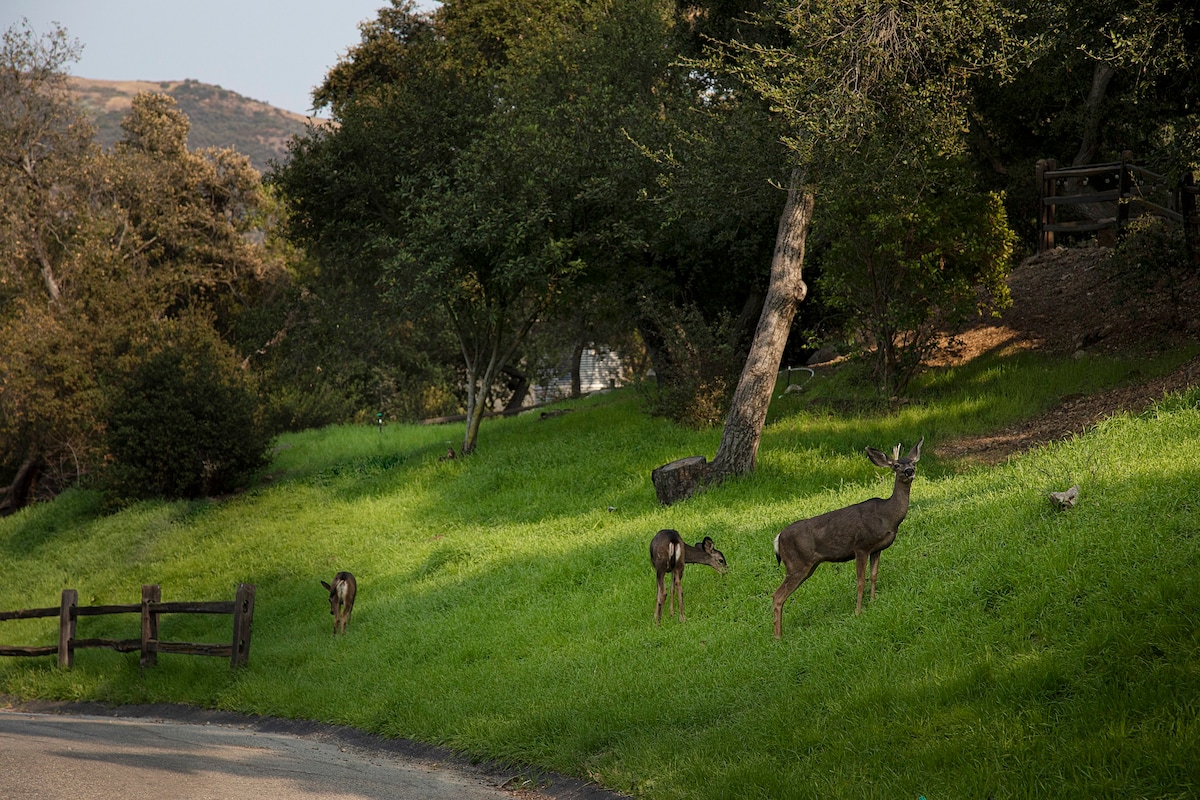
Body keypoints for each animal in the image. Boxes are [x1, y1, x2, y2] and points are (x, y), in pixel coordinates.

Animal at [772, 438, 921, 638]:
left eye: (913, 463)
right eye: (896, 465)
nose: (909, 471)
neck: (888, 516)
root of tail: (778, 538)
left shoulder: (877, 549)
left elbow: (874, 575)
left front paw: (872, 602)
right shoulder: (861, 546)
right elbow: (860, 581)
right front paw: (858, 612)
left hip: (807, 565)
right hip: (797, 564)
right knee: (777, 596)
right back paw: (777, 637)